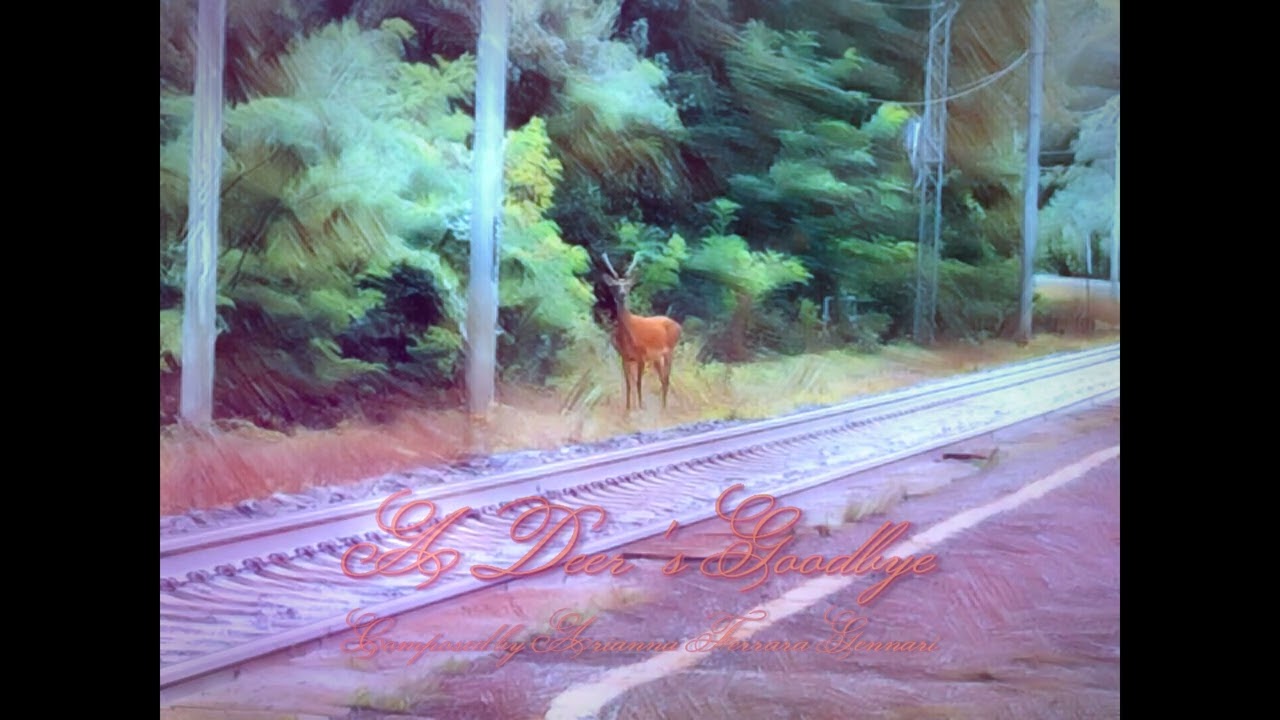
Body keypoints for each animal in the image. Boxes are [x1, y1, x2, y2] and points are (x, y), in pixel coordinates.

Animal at [601, 253, 682, 411]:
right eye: (614, 286)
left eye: (628, 286)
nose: (622, 294)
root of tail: (679, 326)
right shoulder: (625, 357)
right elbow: (628, 384)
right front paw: (627, 409)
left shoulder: (641, 356)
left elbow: (638, 383)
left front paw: (640, 406)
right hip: (657, 358)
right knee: (662, 378)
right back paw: (662, 406)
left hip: (670, 350)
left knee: (666, 379)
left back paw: (664, 408)